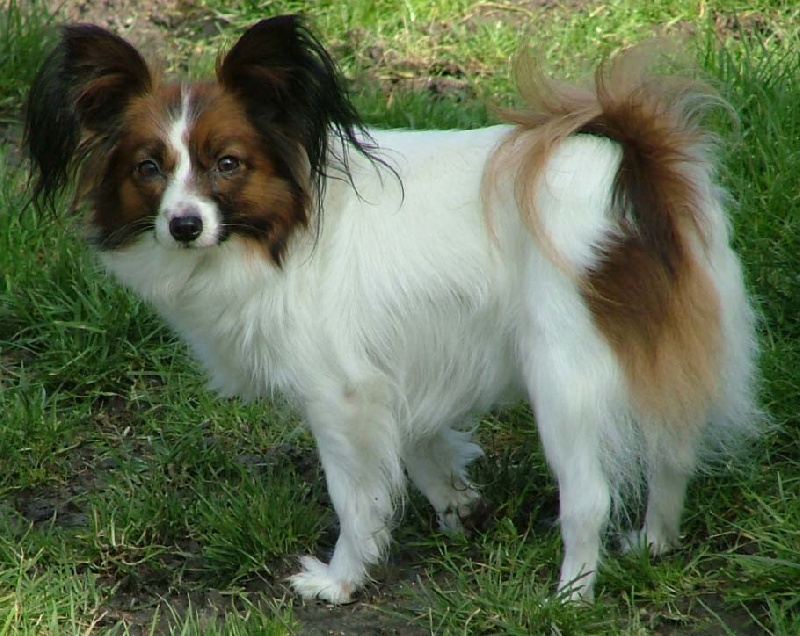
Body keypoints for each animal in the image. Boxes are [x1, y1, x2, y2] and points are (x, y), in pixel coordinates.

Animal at [24, 15, 759, 604]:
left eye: (227, 164)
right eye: (148, 169)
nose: (182, 225)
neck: (286, 228)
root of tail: (629, 172)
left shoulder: (341, 394)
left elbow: (357, 498)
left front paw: (341, 580)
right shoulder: (396, 371)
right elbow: (421, 449)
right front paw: (460, 509)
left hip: (564, 378)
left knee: (589, 499)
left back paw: (570, 598)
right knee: (673, 455)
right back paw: (654, 543)